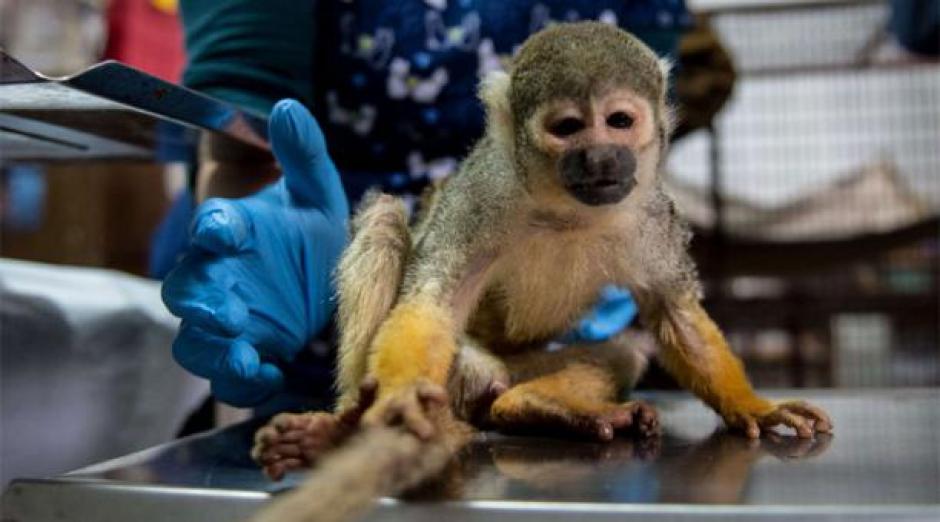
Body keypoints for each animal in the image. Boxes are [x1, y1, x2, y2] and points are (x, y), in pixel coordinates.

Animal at [252, 21, 828, 504]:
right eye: (569, 127)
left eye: (619, 121)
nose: (600, 157)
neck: (563, 209)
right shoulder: (482, 194)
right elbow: (432, 299)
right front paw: (399, 397)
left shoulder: (652, 213)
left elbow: (674, 313)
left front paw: (754, 407)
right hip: (462, 363)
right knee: (386, 221)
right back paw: (341, 429)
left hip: (519, 368)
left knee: (622, 352)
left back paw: (536, 408)